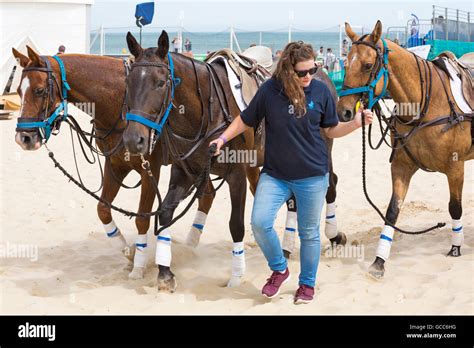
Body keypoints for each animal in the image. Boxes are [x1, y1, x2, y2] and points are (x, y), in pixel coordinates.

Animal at [12, 47, 217, 280]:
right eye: (18, 91)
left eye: (39, 91)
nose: (23, 138)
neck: (119, 101)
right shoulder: (115, 165)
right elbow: (103, 209)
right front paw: (127, 251)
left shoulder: (150, 170)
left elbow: (142, 219)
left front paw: (138, 265)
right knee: (208, 193)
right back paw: (190, 245)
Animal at [336, 20, 474, 278]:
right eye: (345, 63)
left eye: (367, 65)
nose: (344, 112)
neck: (424, 104)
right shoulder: (402, 166)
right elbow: (392, 211)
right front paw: (379, 261)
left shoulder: (455, 166)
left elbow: (455, 208)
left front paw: (456, 247)